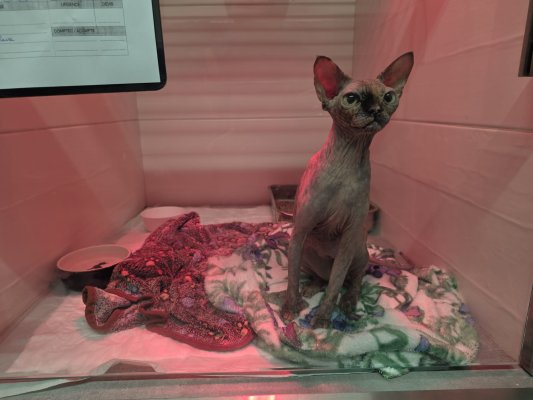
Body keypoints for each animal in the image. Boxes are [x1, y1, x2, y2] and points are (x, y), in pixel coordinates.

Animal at [281, 52, 414, 328]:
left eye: (388, 97)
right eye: (351, 98)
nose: (375, 110)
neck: (347, 162)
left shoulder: (347, 239)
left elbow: (335, 285)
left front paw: (322, 319)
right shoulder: (300, 231)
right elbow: (291, 279)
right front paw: (290, 308)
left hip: (357, 251)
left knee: (353, 281)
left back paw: (349, 303)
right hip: (306, 250)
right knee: (320, 277)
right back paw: (312, 286)